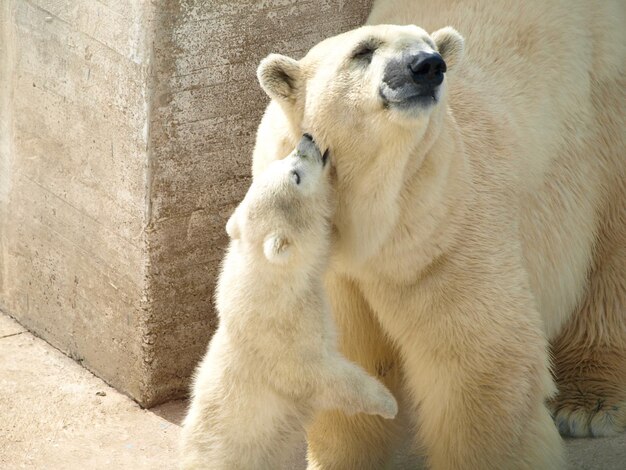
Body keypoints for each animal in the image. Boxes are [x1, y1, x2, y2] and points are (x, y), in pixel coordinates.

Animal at [251, 0, 620, 466]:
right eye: (363, 50)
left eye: (428, 43)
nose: (427, 66)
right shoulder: (319, 259)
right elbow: (343, 358)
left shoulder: (441, 230)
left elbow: (481, 361)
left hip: (603, 116)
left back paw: (586, 404)